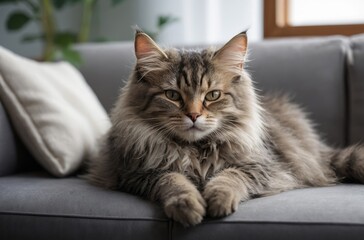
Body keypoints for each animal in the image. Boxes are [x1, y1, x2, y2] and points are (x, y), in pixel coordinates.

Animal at [87, 30, 364, 227]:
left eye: (213, 95)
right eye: (172, 95)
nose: (194, 115)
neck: (194, 150)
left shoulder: (263, 166)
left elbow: (229, 177)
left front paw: (218, 201)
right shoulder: (135, 173)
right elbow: (173, 180)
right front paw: (188, 205)